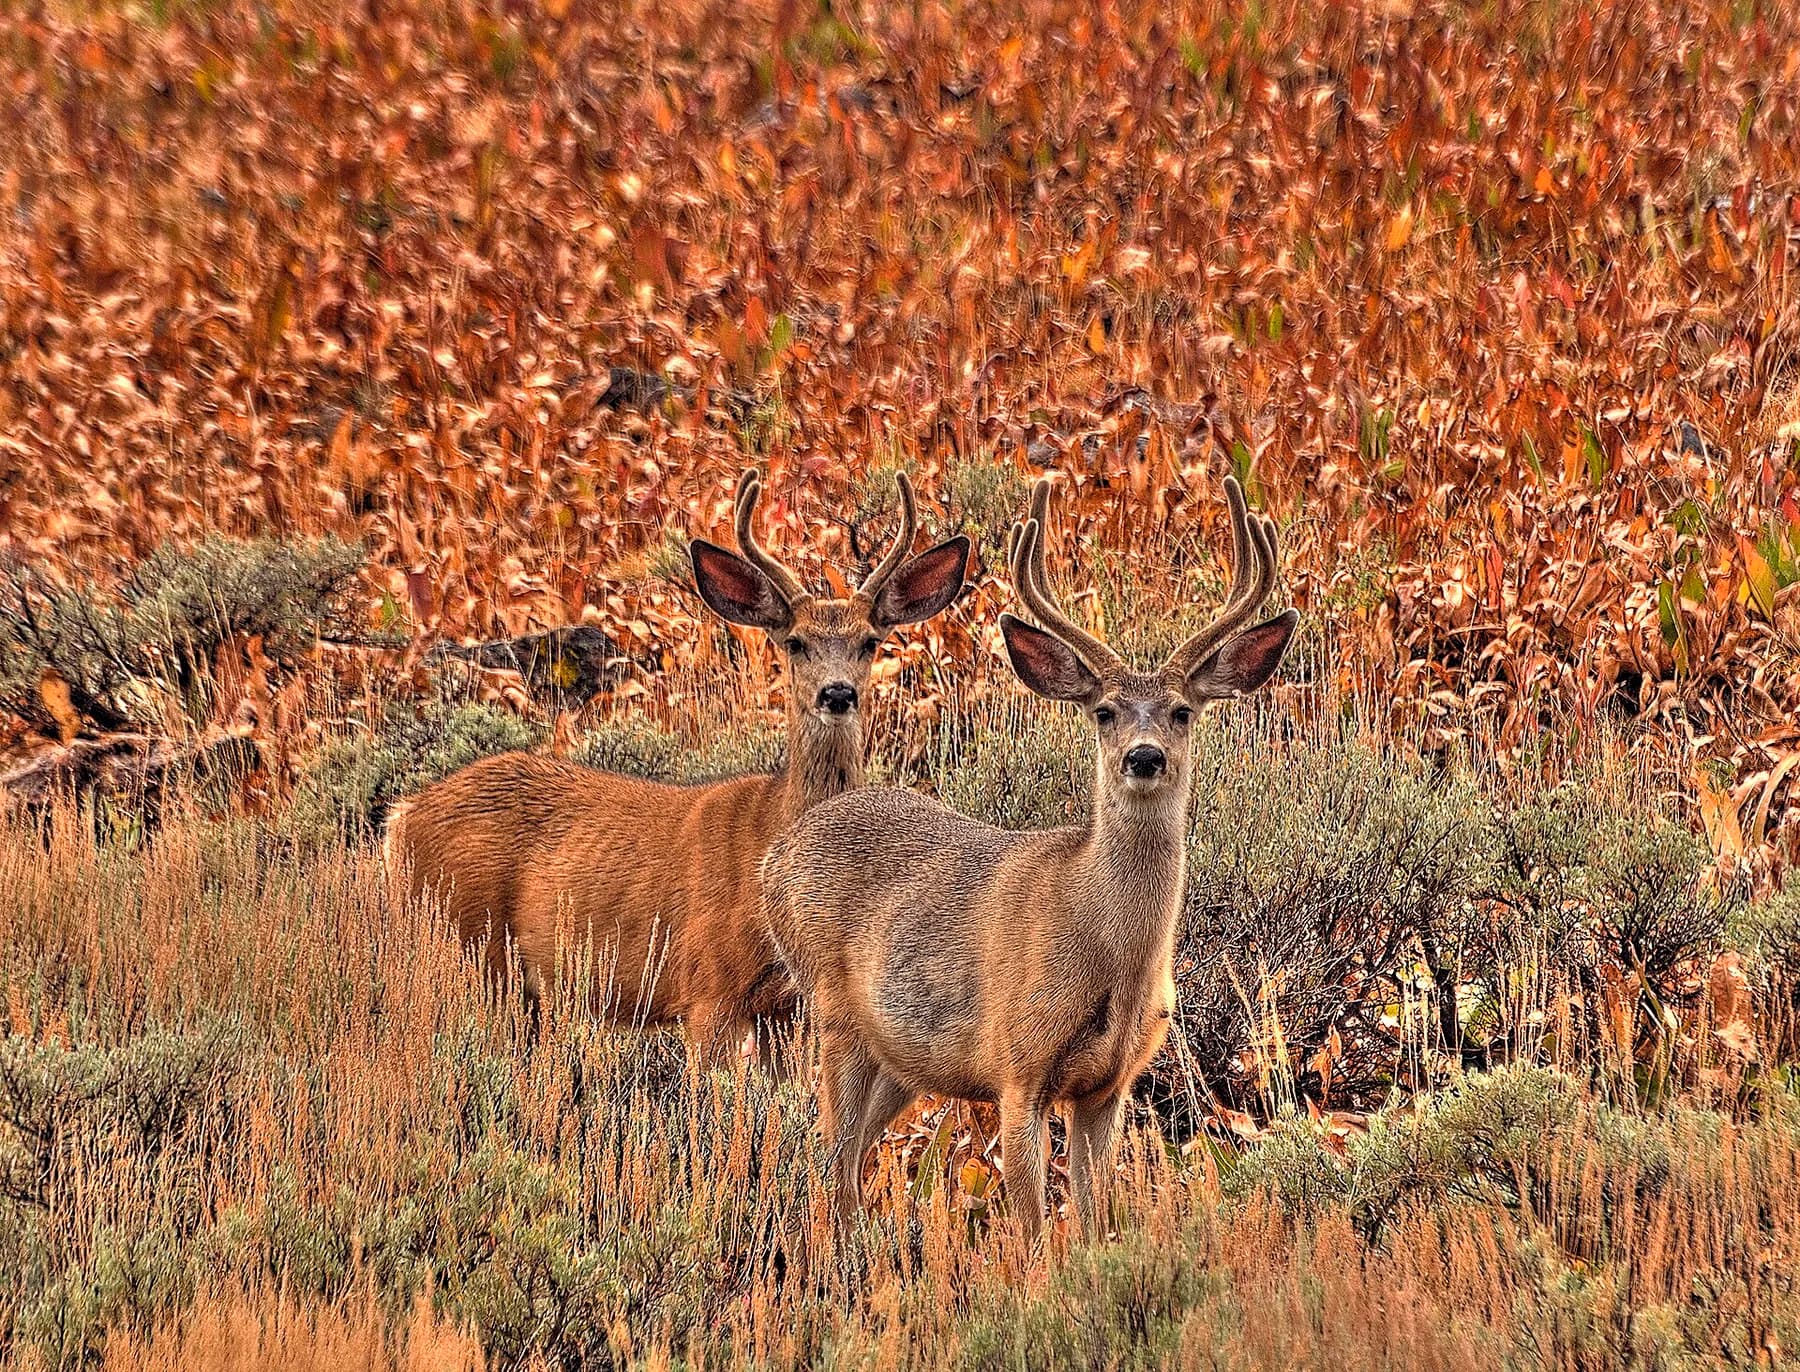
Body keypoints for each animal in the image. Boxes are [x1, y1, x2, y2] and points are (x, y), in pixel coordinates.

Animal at [385, 468, 970, 1061]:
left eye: (870, 642)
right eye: (795, 643)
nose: (837, 693)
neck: (770, 833)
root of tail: (402, 816)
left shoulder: (788, 1008)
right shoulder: (707, 987)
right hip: (470, 943)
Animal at [760, 474, 1297, 1247]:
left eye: (1181, 711)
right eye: (1104, 712)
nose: (1144, 757)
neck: (1108, 952)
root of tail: (777, 854)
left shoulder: (1109, 1086)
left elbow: (1095, 1216)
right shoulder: (1017, 1066)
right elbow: (1034, 1228)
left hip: (902, 1056)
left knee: (848, 1156)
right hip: (832, 1011)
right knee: (829, 1157)